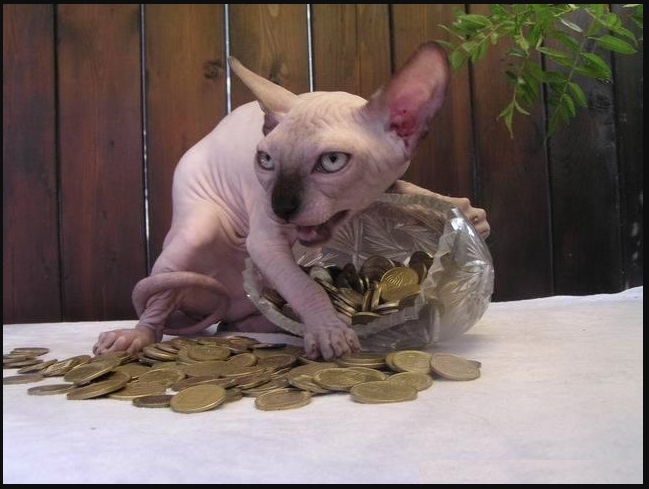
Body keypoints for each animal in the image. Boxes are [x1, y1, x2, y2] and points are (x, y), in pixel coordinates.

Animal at [91, 43, 486, 358]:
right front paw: (329, 331)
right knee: (160, 297)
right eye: (265, 160)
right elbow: (304, 286)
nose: (280, 209)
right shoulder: (263, 239)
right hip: (191, 237)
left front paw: (464, 213)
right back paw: (135, 336)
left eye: (332, 161)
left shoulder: (389, 182)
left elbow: (409, 190)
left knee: (233, 323)